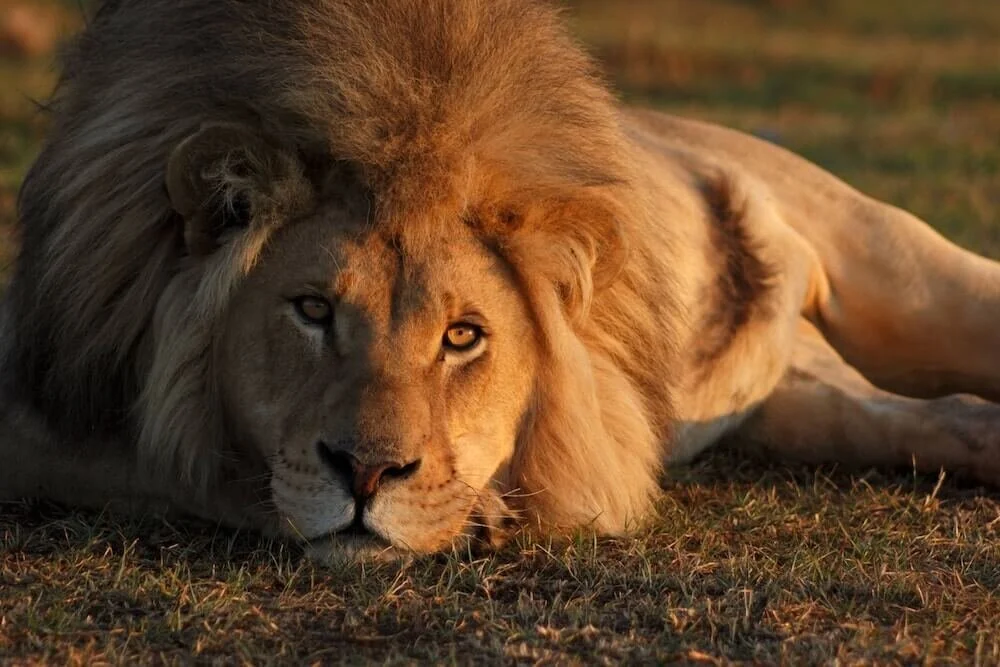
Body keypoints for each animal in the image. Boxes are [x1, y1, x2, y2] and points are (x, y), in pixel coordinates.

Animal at [2, 0, 999, 561]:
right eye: (313, 310)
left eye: (463, 336)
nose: (369, 473)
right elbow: (177, 469)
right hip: (796, 403)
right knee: (932, 416)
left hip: (902, 267)